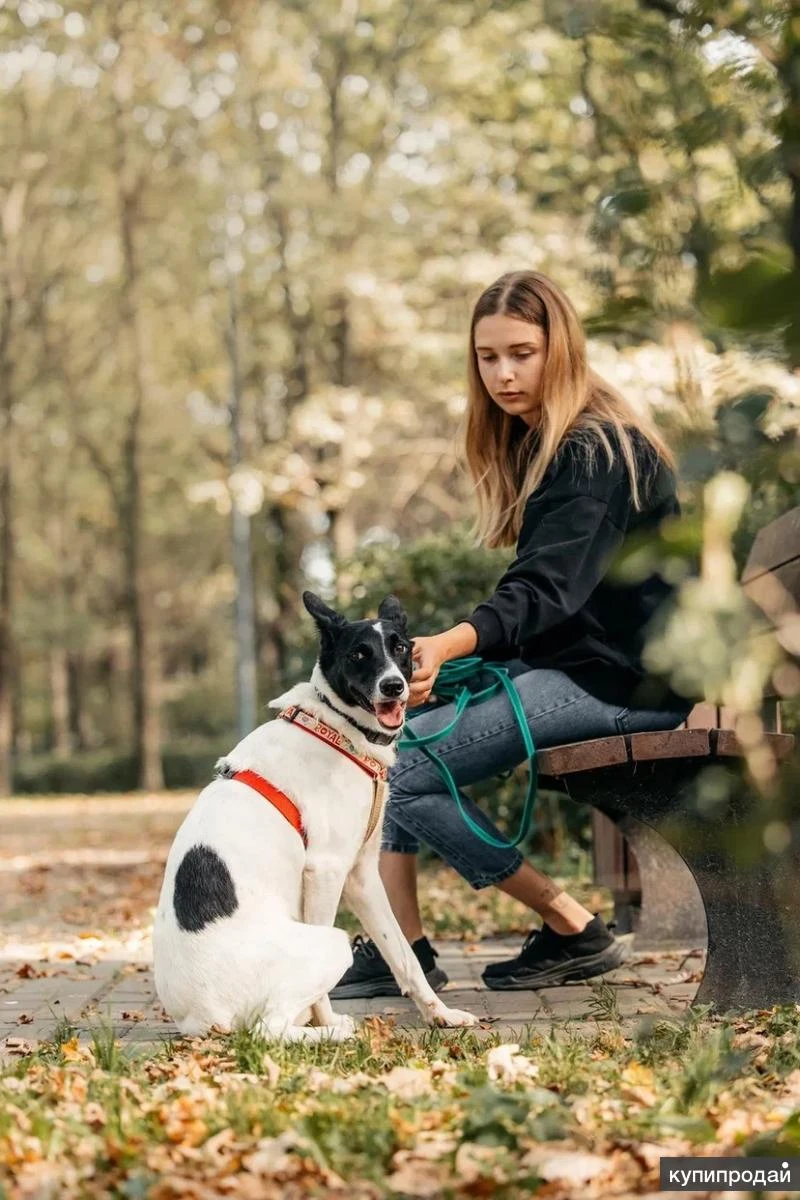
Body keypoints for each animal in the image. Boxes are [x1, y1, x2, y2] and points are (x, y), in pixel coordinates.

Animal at [152, 591, 477, 1042]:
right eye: (359, 654)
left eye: (400, 648)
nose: (393, 686)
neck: (337, 725)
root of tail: (201, 1016)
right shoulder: (326, 870)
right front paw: (328, 1020)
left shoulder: (362, 875)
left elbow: (403, 955)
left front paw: (440, 1015)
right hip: (330, 942)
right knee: (267, 1030)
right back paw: (335, 1033)